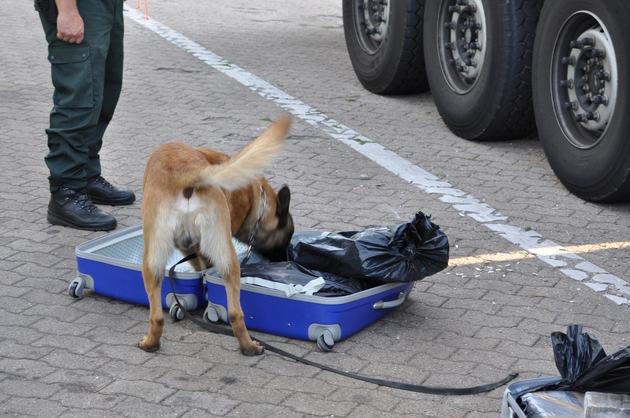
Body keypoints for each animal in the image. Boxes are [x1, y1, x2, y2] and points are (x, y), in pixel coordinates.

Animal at [139, 115, 292, 356]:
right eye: (286, 239)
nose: (286, 260)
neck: (255, 199)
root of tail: (185, 171)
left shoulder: (193, 250)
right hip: (219, 258)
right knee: (234, 313)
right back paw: (247, 345)